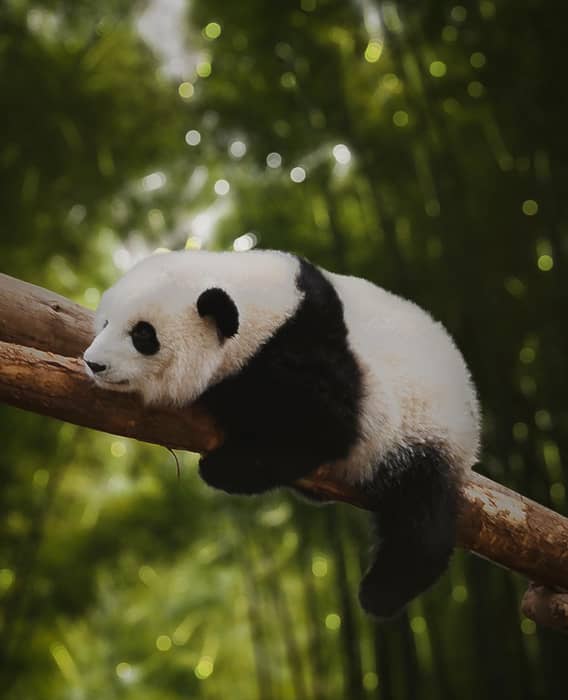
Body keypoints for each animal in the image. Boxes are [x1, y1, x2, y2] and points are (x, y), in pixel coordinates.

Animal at [84, 247, 482, 616]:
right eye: (105, 322)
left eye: (142, 334)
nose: (93, 363)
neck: (266, 309)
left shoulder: (309, 351)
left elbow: (323, 428)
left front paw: (223, 464)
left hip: (426, 431)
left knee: (420, 514)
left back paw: (382, 592)